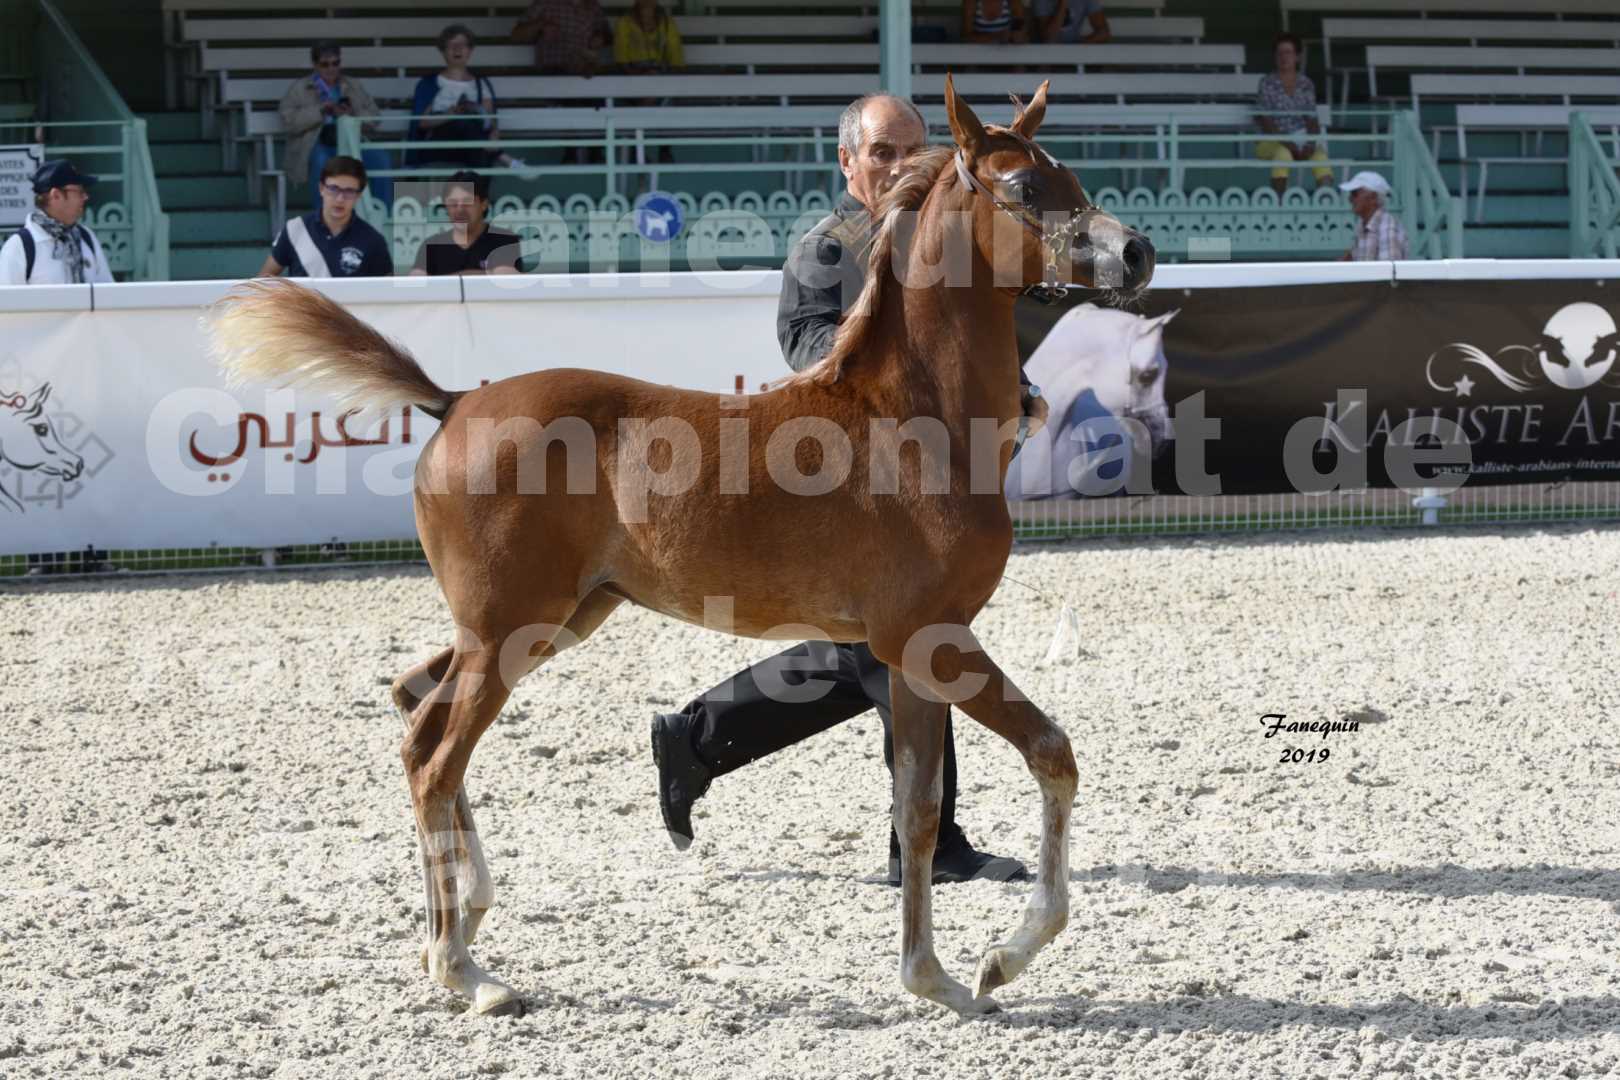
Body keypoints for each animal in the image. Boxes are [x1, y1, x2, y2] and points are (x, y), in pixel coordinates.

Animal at [212, 80, 1153, 1016]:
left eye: (1070, 175)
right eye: (1025, 188)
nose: (1137, 253)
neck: (914, 422)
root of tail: (453, 403)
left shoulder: (910, 652)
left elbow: (919, 808)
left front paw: (936, 975)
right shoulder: (934, 639)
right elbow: (1048, 754)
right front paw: (999, 961)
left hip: (549, 621)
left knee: (414, 706)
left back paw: (466, 916)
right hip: (509, 629)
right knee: (434, 759)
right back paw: (463, 968)